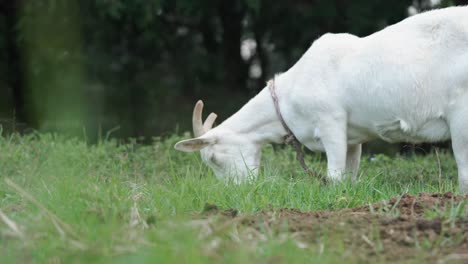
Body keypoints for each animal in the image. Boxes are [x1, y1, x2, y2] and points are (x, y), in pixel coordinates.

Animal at [175, 6, 468, 192]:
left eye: (213, 159)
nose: (236, 191)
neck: (288, 97)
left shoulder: (331, 122)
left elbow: (335, 174)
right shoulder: (354, 137)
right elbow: (350, 173)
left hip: (462, 114)